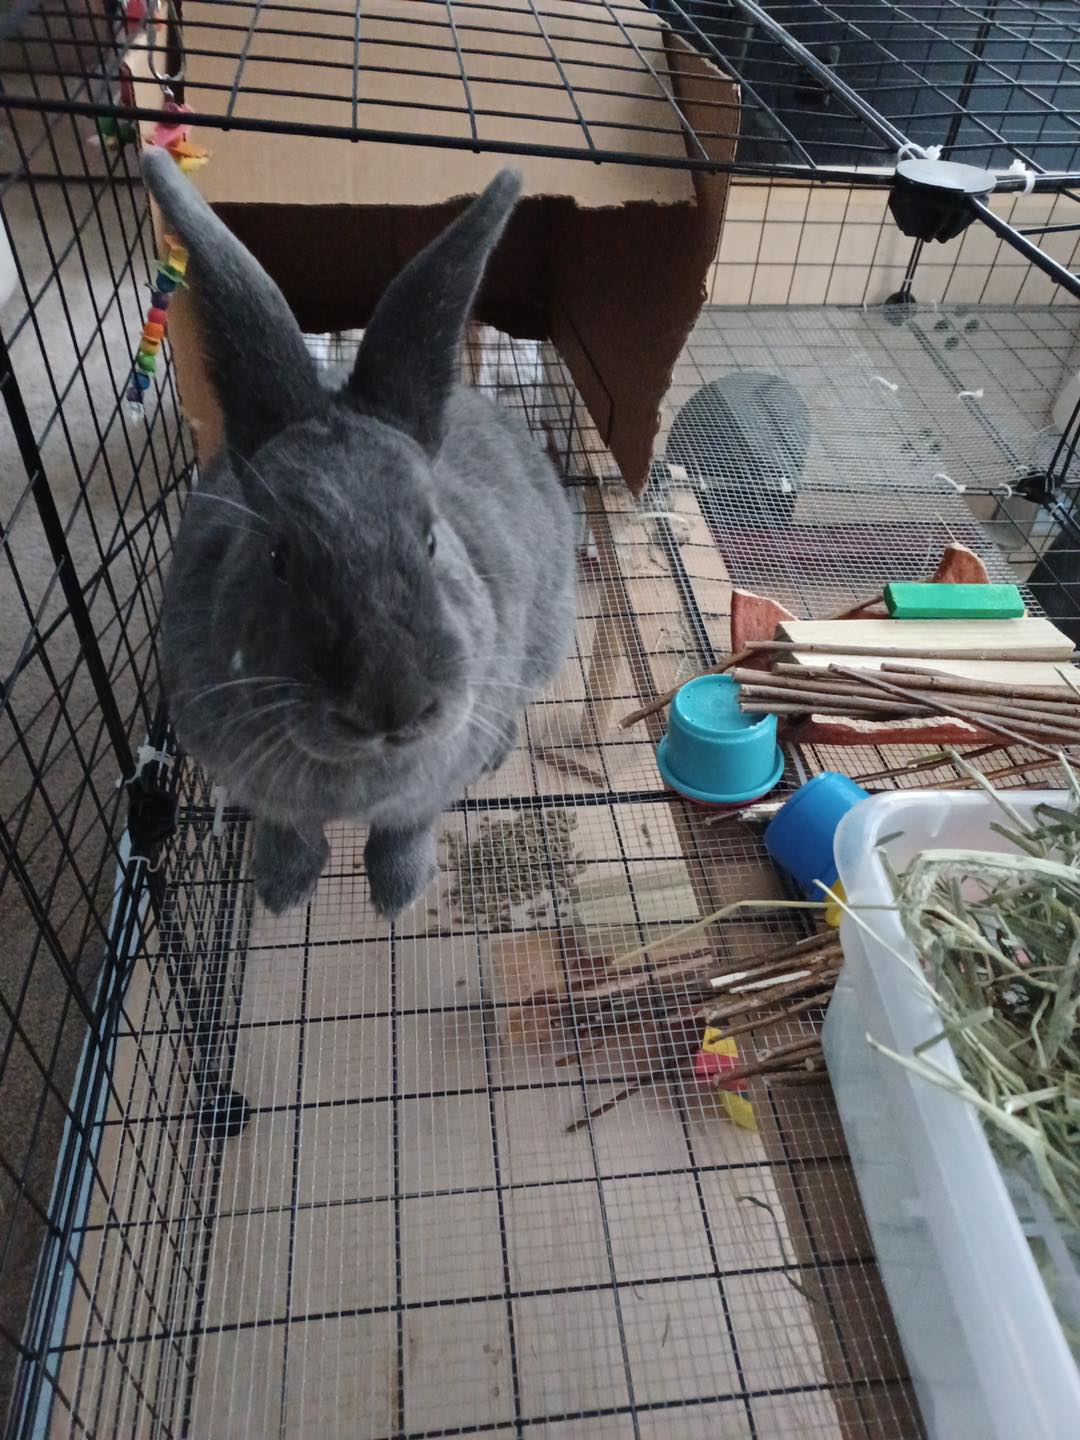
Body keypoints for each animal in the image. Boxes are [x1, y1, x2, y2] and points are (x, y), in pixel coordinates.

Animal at [142, 149, 576, 917]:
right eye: (277, 556)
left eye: (431, 539)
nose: (392, 705)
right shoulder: (261, 790)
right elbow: (288, 829)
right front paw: (282, 893)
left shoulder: (423, 794)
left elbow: (403, 833)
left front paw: (397, 896)